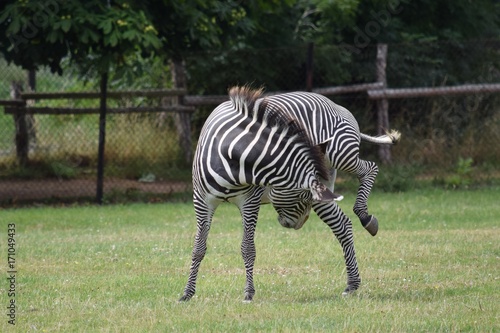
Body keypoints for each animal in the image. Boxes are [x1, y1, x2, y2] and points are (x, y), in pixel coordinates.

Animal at [180, 86, 336, 300]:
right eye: (305, 196)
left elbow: (248, 248)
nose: (302, 223)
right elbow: (198, 248)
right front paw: (187, 292)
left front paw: (248, 292)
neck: (231, 156)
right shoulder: (202, 201)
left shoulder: (250, 201)